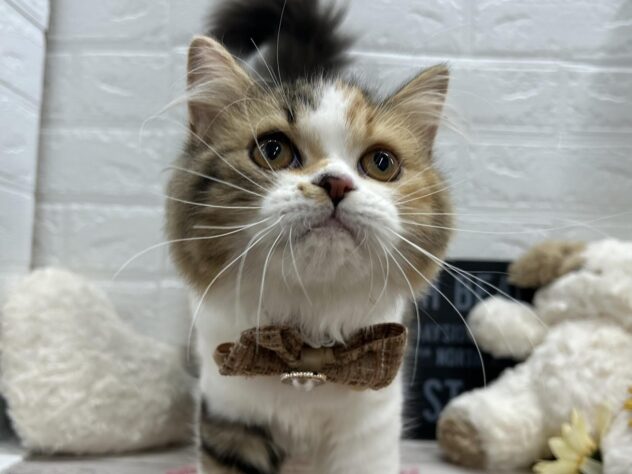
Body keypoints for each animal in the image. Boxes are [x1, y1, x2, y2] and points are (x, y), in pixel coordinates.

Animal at [165, 0, 452, 472]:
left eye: (382, 163)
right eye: (273, 150)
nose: (336, 183)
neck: (310, 350)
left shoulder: (370, 428)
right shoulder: (229, 413)